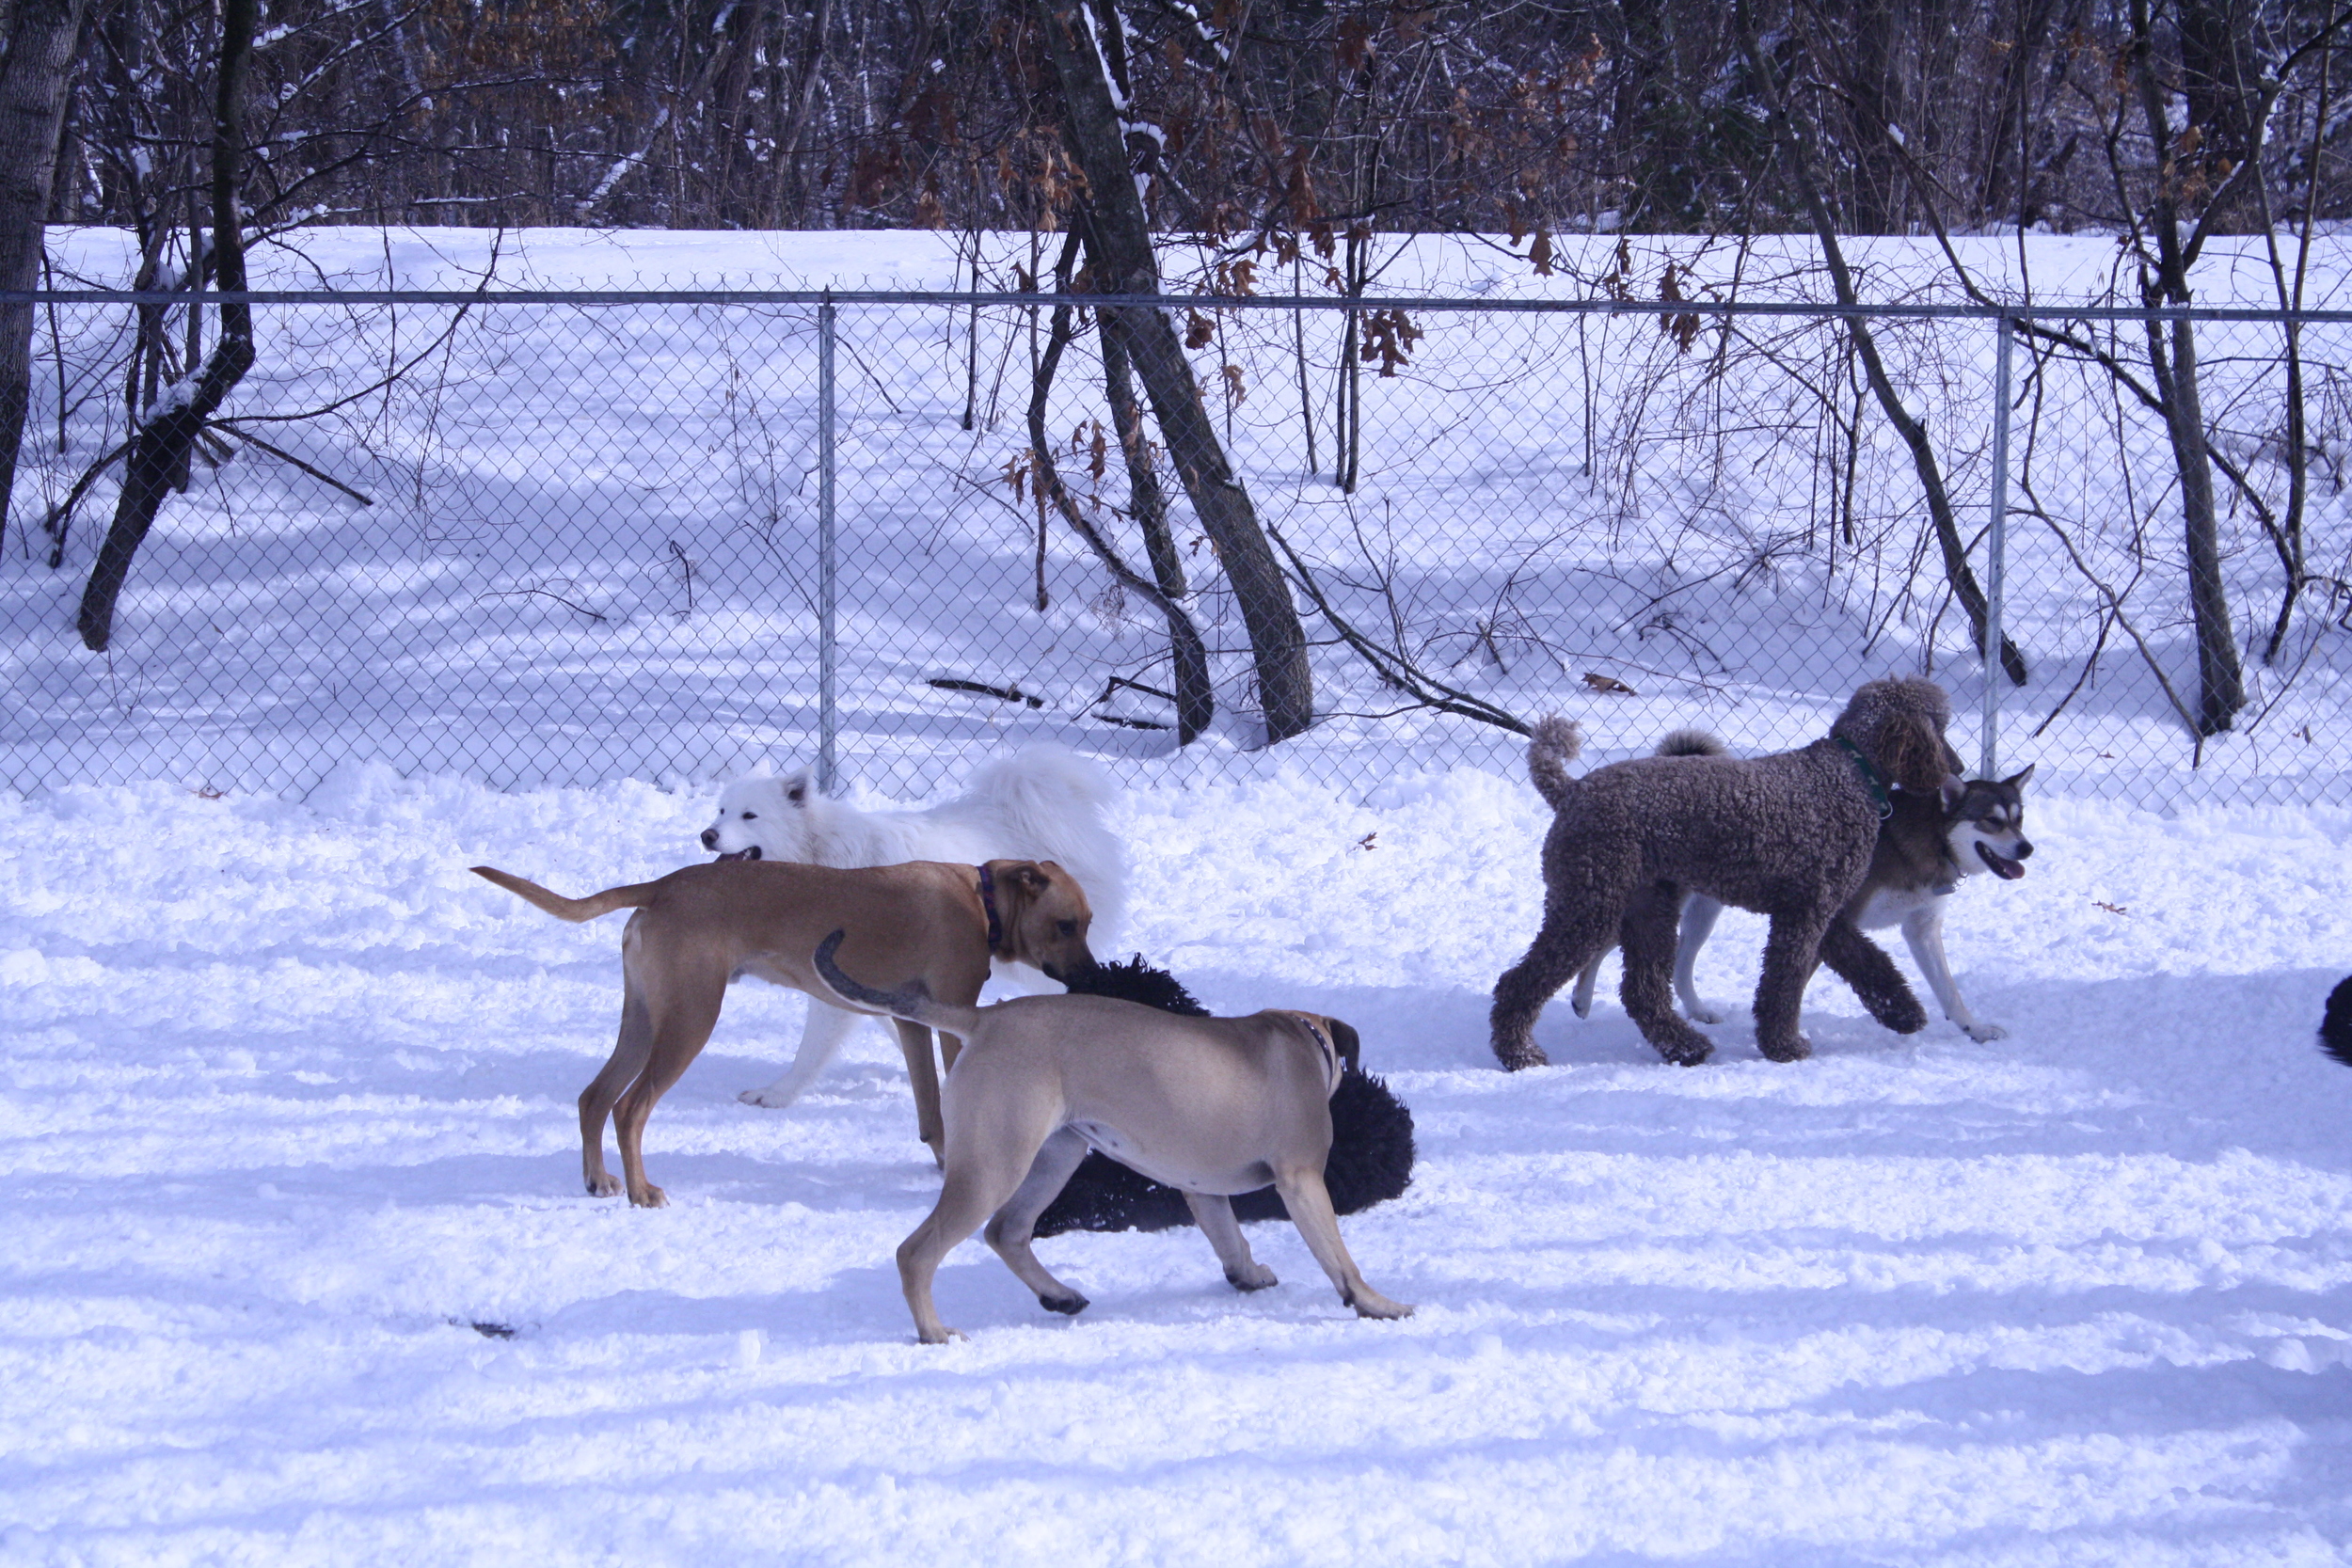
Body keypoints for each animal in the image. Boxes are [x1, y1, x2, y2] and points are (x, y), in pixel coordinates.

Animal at [480, 864, 1110, 1212]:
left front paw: (940, 1155)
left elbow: (930, 1109)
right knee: (631, 1107)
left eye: (1087, 923)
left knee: (594, 1097)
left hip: (642, 1019)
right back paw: (641, 1190)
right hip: (689, 1019)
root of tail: (661, 888)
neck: (980, 900)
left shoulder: (911, 1023)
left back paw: (599, 1180)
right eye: (1065, 925)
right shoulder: (951, 1020)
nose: (1093, 978)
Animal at [691, 752, 1124, 1109]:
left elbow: (810, 1051)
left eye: (749, 816)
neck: (818, 855)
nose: (706, 835)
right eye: (721, 810)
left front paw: (776, 1095)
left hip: (1037, 964)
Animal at [809, 930, 1402, 1354]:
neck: (1305, 1039)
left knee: (1007, 1232)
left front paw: (1248, 1276)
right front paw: (1376, 1304)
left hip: (1056, 1155)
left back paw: (1059, 1295)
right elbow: (1339, 1258)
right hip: (995, 1165)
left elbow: (1231, 1239)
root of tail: (984, 1020)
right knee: (918, 1252)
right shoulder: (1302, 1181)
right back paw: (934, 1331)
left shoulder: (1203, 1189)